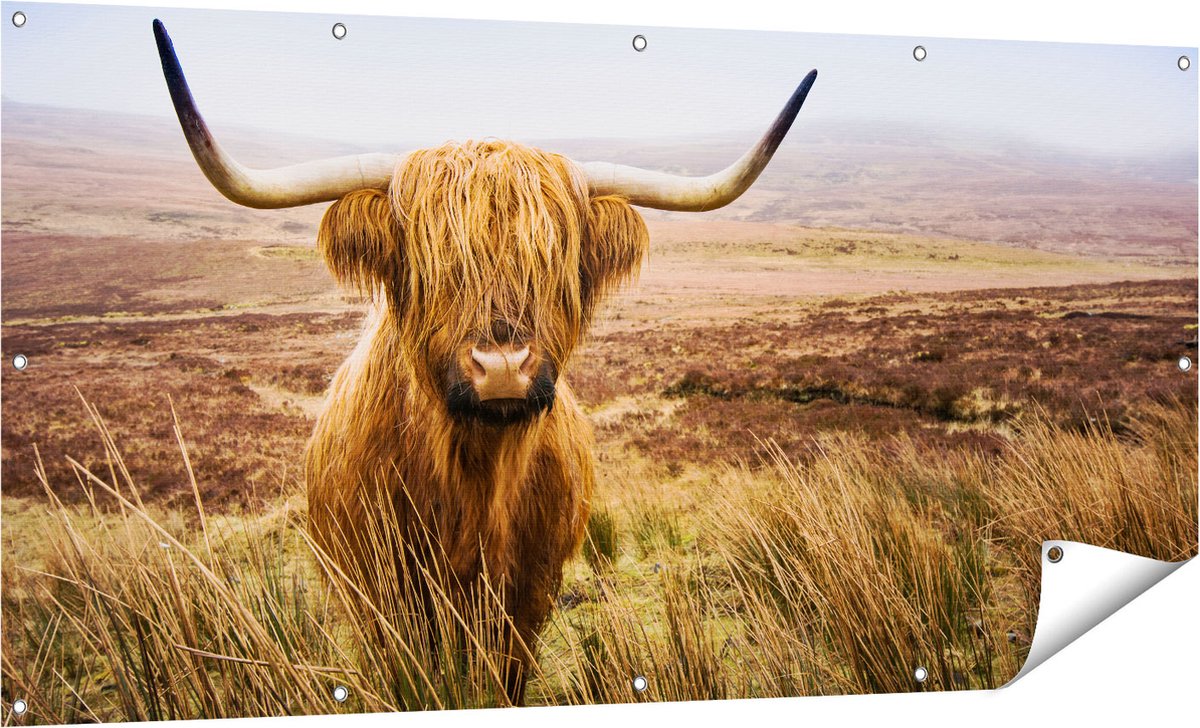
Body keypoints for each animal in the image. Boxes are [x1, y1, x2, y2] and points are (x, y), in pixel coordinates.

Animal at [152, 19, 816, 706]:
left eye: (553, 258)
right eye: (431, 261)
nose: (502, 366)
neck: (473, 480)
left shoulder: (529, 596)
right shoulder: (380, 597)